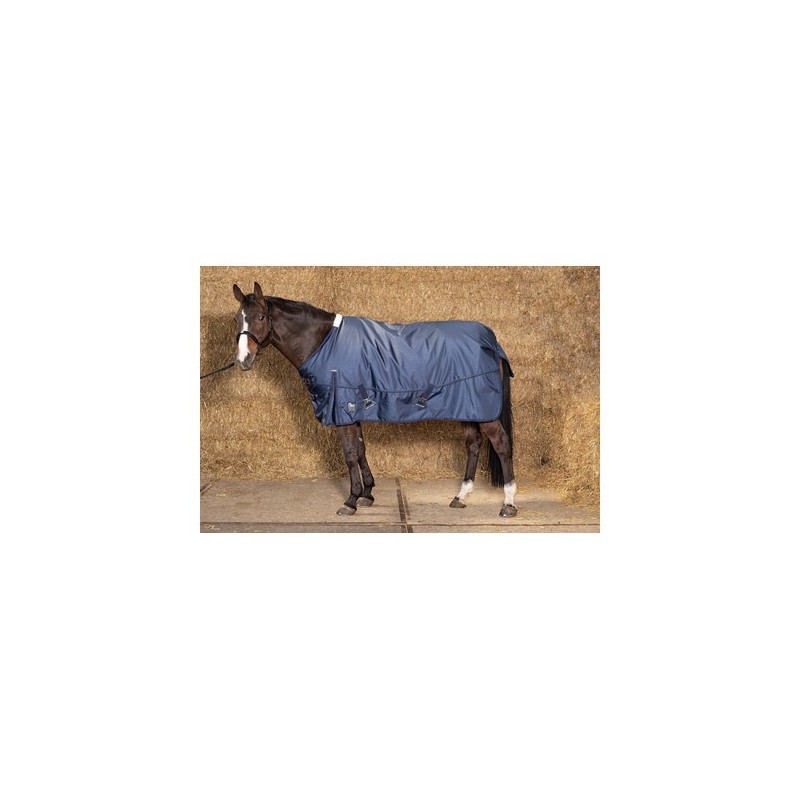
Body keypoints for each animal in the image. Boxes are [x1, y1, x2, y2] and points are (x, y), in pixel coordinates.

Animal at [229, 282, 517, 518]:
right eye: (236, 319)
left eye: (261, 317)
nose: (243, 360)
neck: (323, 342)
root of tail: (491, 340)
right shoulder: (353, 410)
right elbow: (360, 450)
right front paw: (367, 493)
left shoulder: (343, 410)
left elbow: (349, 455)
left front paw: (351, 500)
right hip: (468, 408)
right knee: (473, 444)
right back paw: (460, 497)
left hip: (484, 411)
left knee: (502, 444)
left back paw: (508, 504)